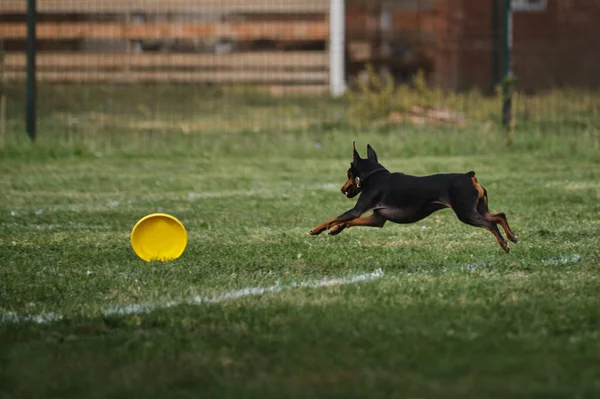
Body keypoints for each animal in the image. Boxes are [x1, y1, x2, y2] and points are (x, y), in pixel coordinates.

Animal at [308, 143, 516, 253]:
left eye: (348, 173)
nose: (342, 189)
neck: (374, 176)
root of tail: (469, 176)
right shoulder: (377, 219)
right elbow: (348, 222)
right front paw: (336, 230)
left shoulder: (357, 209)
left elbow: (335, 217)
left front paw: (315, 229)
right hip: (478, 209)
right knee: (500, 215)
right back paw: (512, 237)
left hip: (466, 213)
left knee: (491, 224)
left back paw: (504, 244)